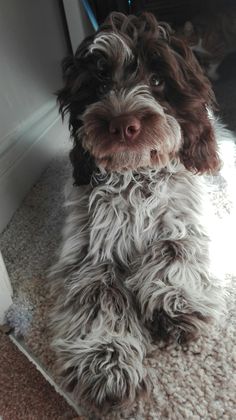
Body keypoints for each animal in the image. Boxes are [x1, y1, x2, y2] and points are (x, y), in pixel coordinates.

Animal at [49, 12, 225, 414]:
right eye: (100, 82)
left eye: (157, 80)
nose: (122, 125)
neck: (136, 175)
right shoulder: (90, 255)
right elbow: (100, 300)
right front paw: (108, 365)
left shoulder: (182, 222)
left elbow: (175, 252)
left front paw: (175, 303)